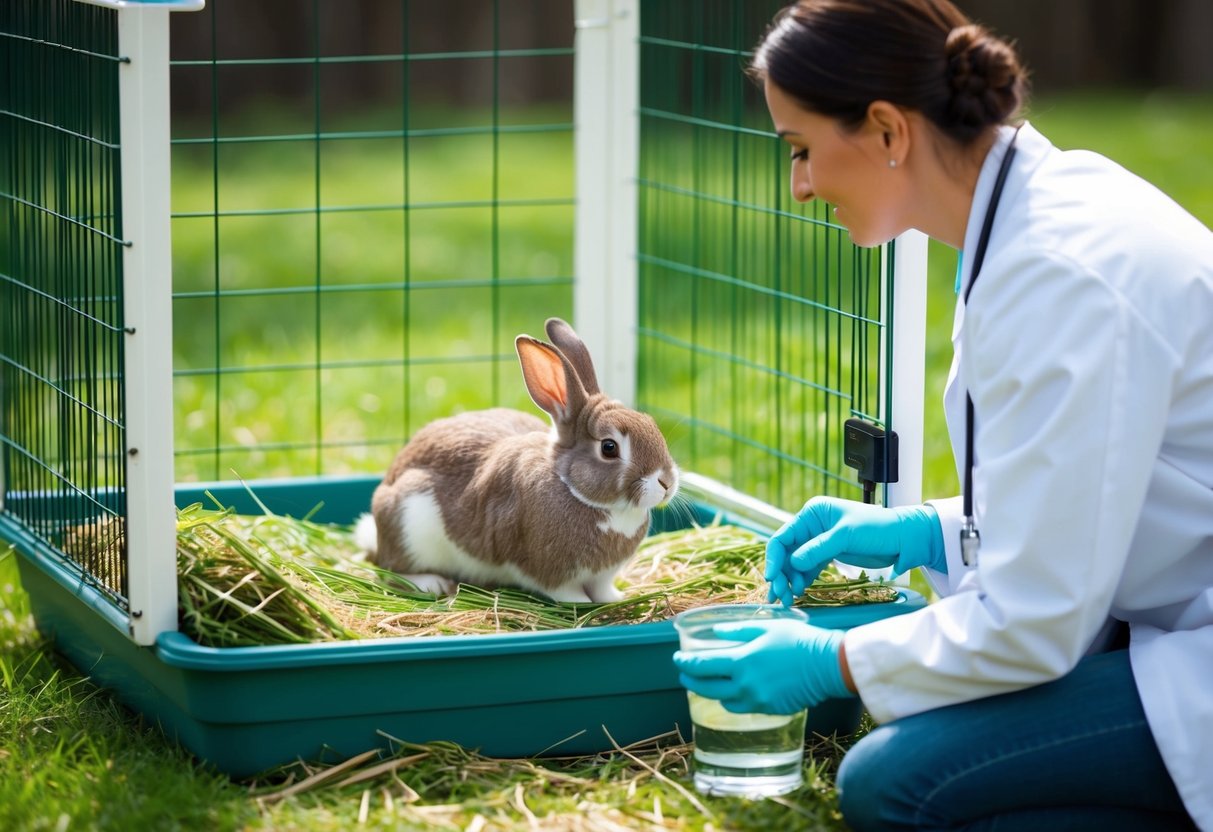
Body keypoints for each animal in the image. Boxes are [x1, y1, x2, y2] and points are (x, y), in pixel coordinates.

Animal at [353, 317, 680, 603]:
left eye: (650, 423)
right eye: (609, 448)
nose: (666, 482)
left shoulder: (602, 576)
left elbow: (603, 590)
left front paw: (615, 599)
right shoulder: (546, 571)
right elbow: (565, 592)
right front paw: (582, 604)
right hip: (407, 521)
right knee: (390, 570)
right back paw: (432, 583)